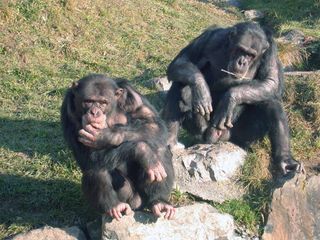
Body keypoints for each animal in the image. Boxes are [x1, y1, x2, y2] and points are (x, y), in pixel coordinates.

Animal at [60, 74, 175, 220]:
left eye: (103, 102)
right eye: (89, 101)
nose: (95, 112)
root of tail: (136, 204)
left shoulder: (133, 96)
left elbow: (152, 124)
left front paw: (107, 136)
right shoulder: (69, 110)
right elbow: (87, 155)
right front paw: (143, 152)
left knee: (159, 148)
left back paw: (159, 201)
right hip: (127, 197)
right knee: (95, 166)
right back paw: (114, 206)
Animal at [162, 21, 300, 177]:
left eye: (251, 55)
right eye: (240, 50)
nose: (242, 62)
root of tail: (215, 138)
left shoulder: (271, 50)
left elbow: (271, 82)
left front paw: (231, 98)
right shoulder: (211, 35)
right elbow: (181, 61)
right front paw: (201, 87)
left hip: (236, 135)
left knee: (270, 100)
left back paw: (285, 160)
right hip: (201, 132)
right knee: (180, 82)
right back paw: (170, 141)